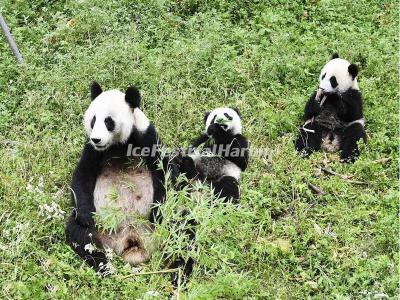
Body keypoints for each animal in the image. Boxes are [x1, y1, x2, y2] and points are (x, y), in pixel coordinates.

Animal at [66, 83, 173, 274]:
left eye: (108, 121)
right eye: (93, 120)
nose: (97, 139)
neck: (118, 144)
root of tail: (131, 240)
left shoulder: (146, 137)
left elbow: (163, 171)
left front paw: (157, 212)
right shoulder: (92, 149)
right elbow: (82, 175)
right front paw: (86, 216)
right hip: (100, 229)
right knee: (79, 233)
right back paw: (105, 266)